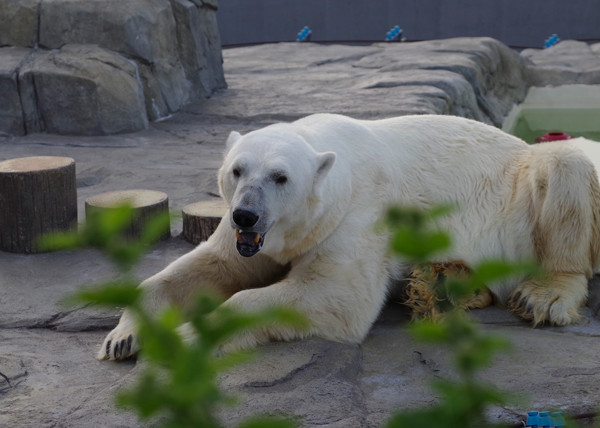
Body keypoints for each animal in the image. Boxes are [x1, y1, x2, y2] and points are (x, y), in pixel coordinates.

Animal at [98, 113, 600, 362]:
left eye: (280, 177)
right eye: (237, 170)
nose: (246, 215)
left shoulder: (358, 215)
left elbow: (336, 293)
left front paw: (187, 335)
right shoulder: (249, 239)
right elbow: (209, 266)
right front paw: (122, 337)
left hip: (524, 189)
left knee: (563, 164)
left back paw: (544, 295)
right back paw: (446, 281)